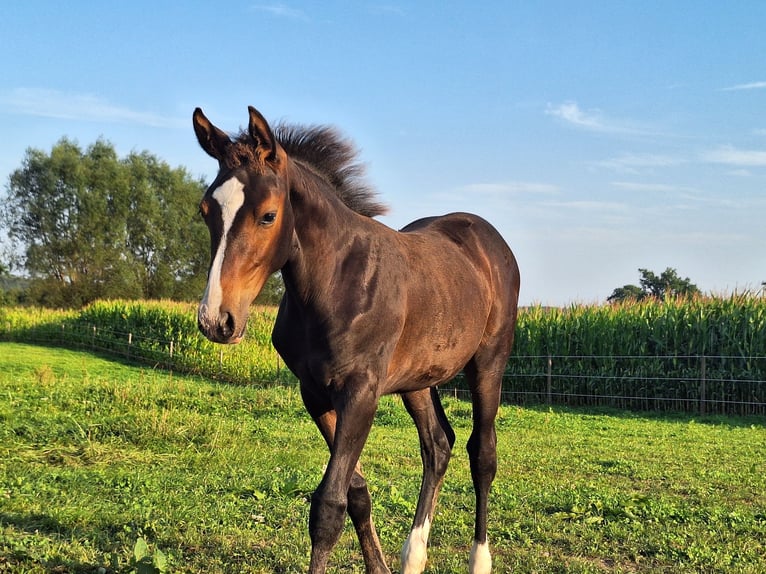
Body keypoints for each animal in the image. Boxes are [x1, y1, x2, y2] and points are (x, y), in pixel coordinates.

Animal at [195, 106, 524, 572]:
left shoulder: (361, 392)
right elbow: (355, 493)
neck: (336, 281)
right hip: (417, 379)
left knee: (483, 453)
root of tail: (488, 237)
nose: (216, 320)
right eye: (206, 210)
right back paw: (412, 557)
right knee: (437, 445)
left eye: (268, 215)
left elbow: (329, 507)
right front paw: (379, 565)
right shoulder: (315, 393)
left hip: (489, 362)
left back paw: (479, 559)